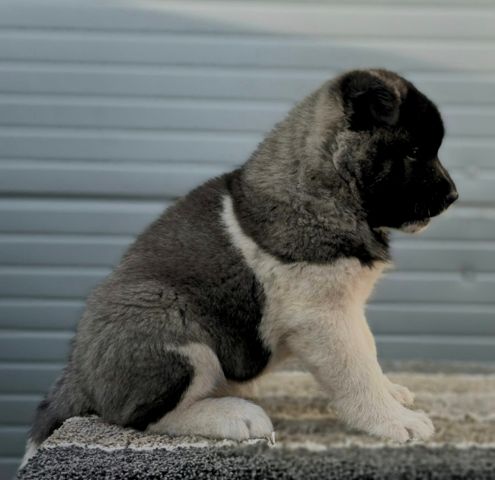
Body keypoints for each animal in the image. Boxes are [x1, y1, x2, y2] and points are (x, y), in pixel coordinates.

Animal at [22, 66, 458, 464]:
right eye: (415, 152)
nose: (453, 195)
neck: (326, 185)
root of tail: (79, 371)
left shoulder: (347, 307)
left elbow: (369, 351)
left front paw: (392, 394)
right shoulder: (323, 317)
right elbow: (356, 370)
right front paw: (393, 420)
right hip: (168, 322)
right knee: (139, 416)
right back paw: (234, 415)